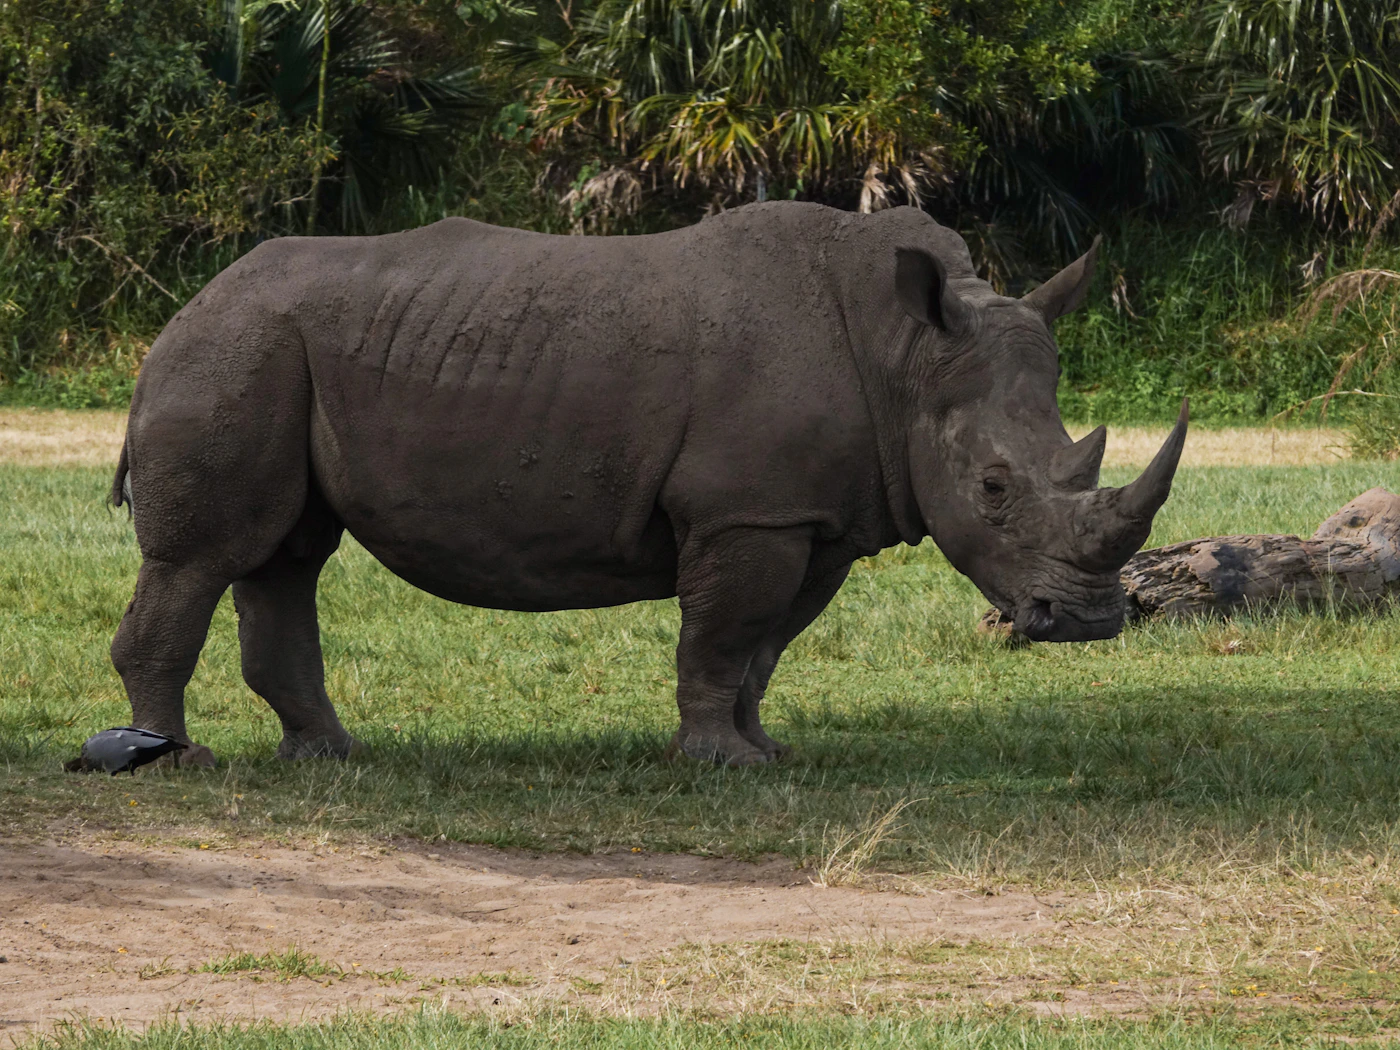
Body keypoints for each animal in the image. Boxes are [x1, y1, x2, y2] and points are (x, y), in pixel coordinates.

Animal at [110, 201, 1186, 768]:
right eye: (994, 489)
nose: (1090, 621)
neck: (905, 356)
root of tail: (177, 314)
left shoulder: (810, 517)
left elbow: (762, 650)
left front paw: (761, 752)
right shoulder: (745, 513)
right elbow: (720, 636)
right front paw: (719, 763)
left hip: (269, 349)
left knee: (285, 556)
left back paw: (330, 756)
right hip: (234, 348)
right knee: (207, 557)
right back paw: (170, 759)